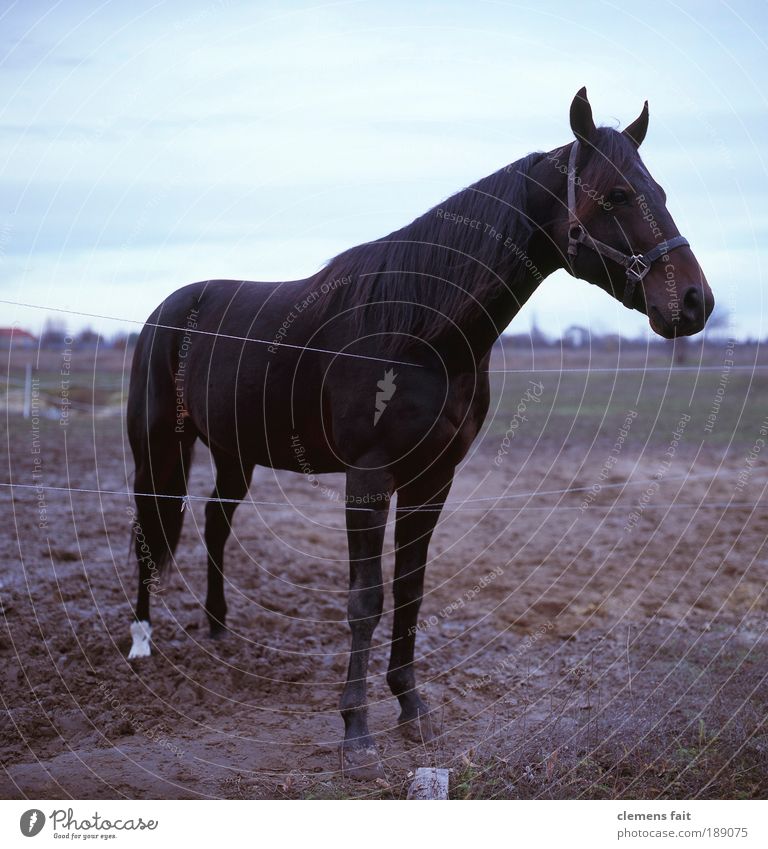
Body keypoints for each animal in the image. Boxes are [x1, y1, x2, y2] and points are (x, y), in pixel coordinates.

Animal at [126, 91, 712, 776]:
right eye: (617, 194)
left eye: (659, 190)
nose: (695, 302)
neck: (422, 329)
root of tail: (166, 311)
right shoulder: (369, 476)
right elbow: (367, 599)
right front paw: (355, 731)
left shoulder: (433, 478)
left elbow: (411, 590)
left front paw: (411, 708)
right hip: (157, 449)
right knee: (147, 532)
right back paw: (140, 643)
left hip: (236, 454)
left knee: (216, 521)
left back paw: (219, 628)